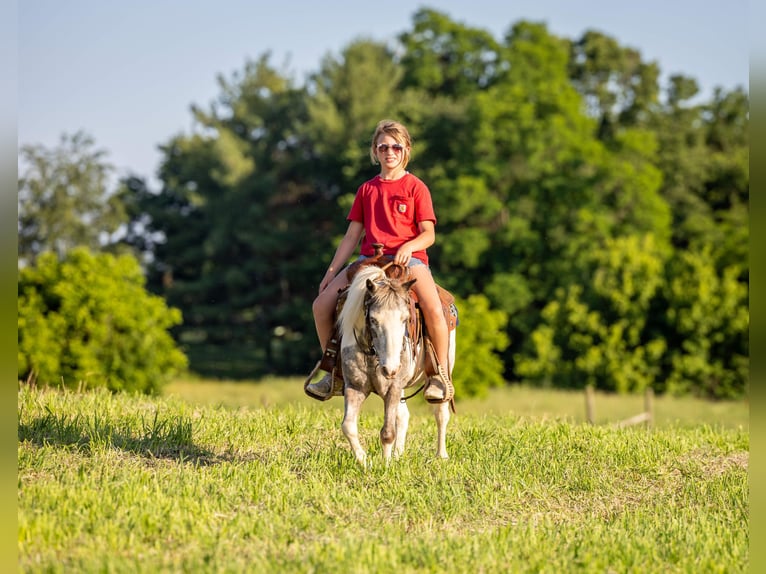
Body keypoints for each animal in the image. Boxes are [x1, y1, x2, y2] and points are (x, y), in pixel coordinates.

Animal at [336, 263, 455, 466]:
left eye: (405, 319)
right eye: (373, 319)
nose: (390, 369)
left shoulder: (393, 386)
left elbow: (387, 433)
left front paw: (385, 465)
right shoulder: (355, 387)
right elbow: (348, 426)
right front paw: (364, 462)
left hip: (443, 372)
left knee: (441, 413)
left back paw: (441, 455)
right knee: (403, 416)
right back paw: (399, 454)